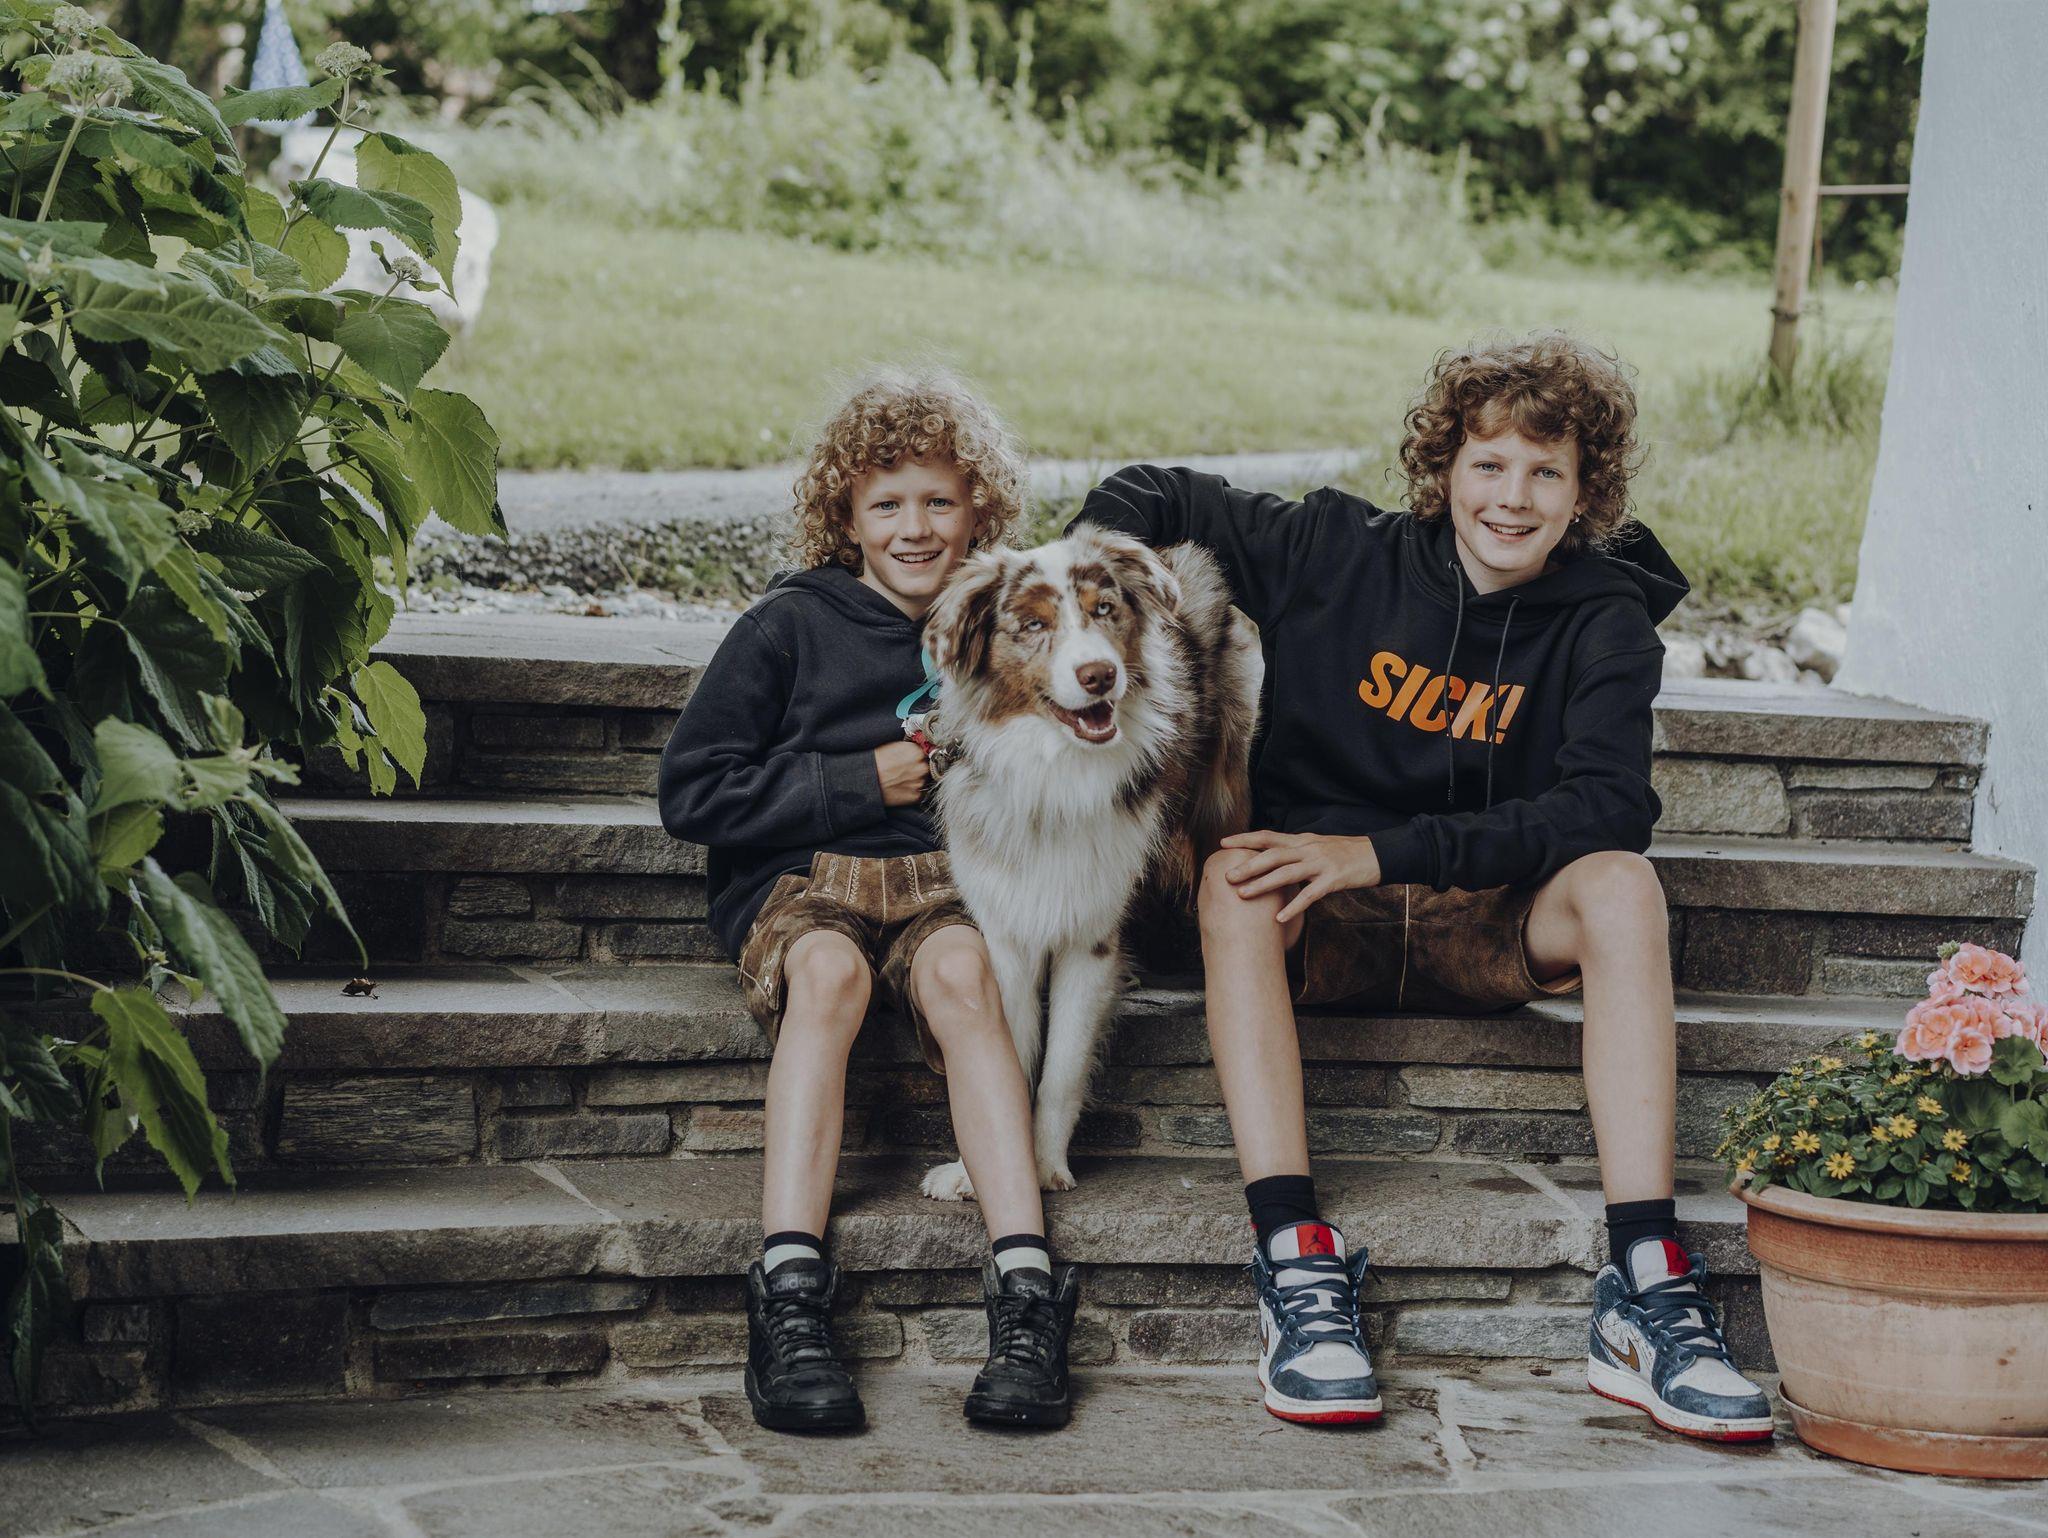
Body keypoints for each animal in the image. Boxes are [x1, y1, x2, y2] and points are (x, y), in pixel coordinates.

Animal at [916, 524, 1261, 1195]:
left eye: (1104, 610)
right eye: (1031, 625)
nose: (1099, 675)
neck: (1056, 770)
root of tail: (1180, 554)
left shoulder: (1092, 936)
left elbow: (1062, 1068)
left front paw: (1046, 1165)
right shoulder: (1009, 932)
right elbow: (1007, 1061)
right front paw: (981, 1171)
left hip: (1223, 791)